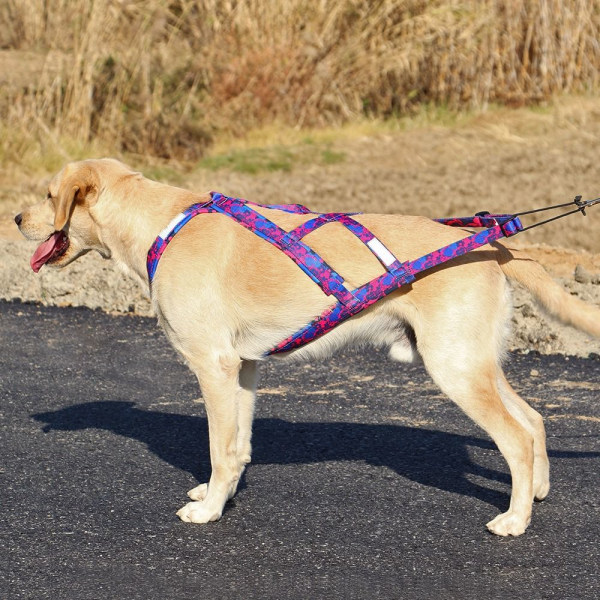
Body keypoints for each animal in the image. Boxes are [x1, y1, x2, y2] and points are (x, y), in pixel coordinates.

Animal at [14, 158, 600, 536]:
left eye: (48, 196)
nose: (16, 219)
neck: (161, 225)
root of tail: (496, 244)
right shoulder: (244, 368)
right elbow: (238, 446)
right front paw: (220, 495)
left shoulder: (213, 366)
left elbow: (219, 448)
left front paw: (209, 512)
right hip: (476, 364)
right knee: (533, 420)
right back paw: (536, 493)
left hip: (455, 368)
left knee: (516, 438)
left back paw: (516, 520)